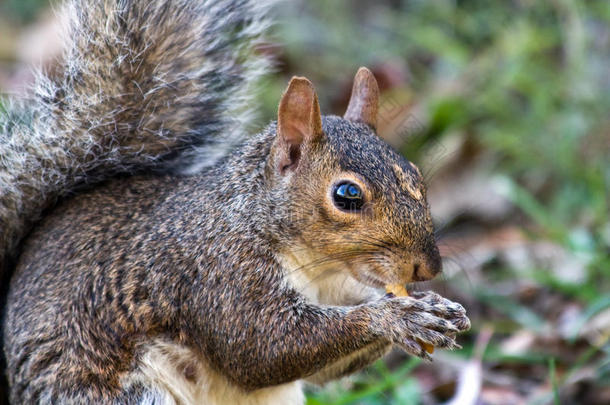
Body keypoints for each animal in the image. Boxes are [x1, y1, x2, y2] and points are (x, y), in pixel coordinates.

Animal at [0, 0, 468, 400]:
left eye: (415, 173)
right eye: (347, 195)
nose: (428, 268)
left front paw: (430, 309)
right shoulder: (220, 273)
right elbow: (263, 348)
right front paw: (397, 317)